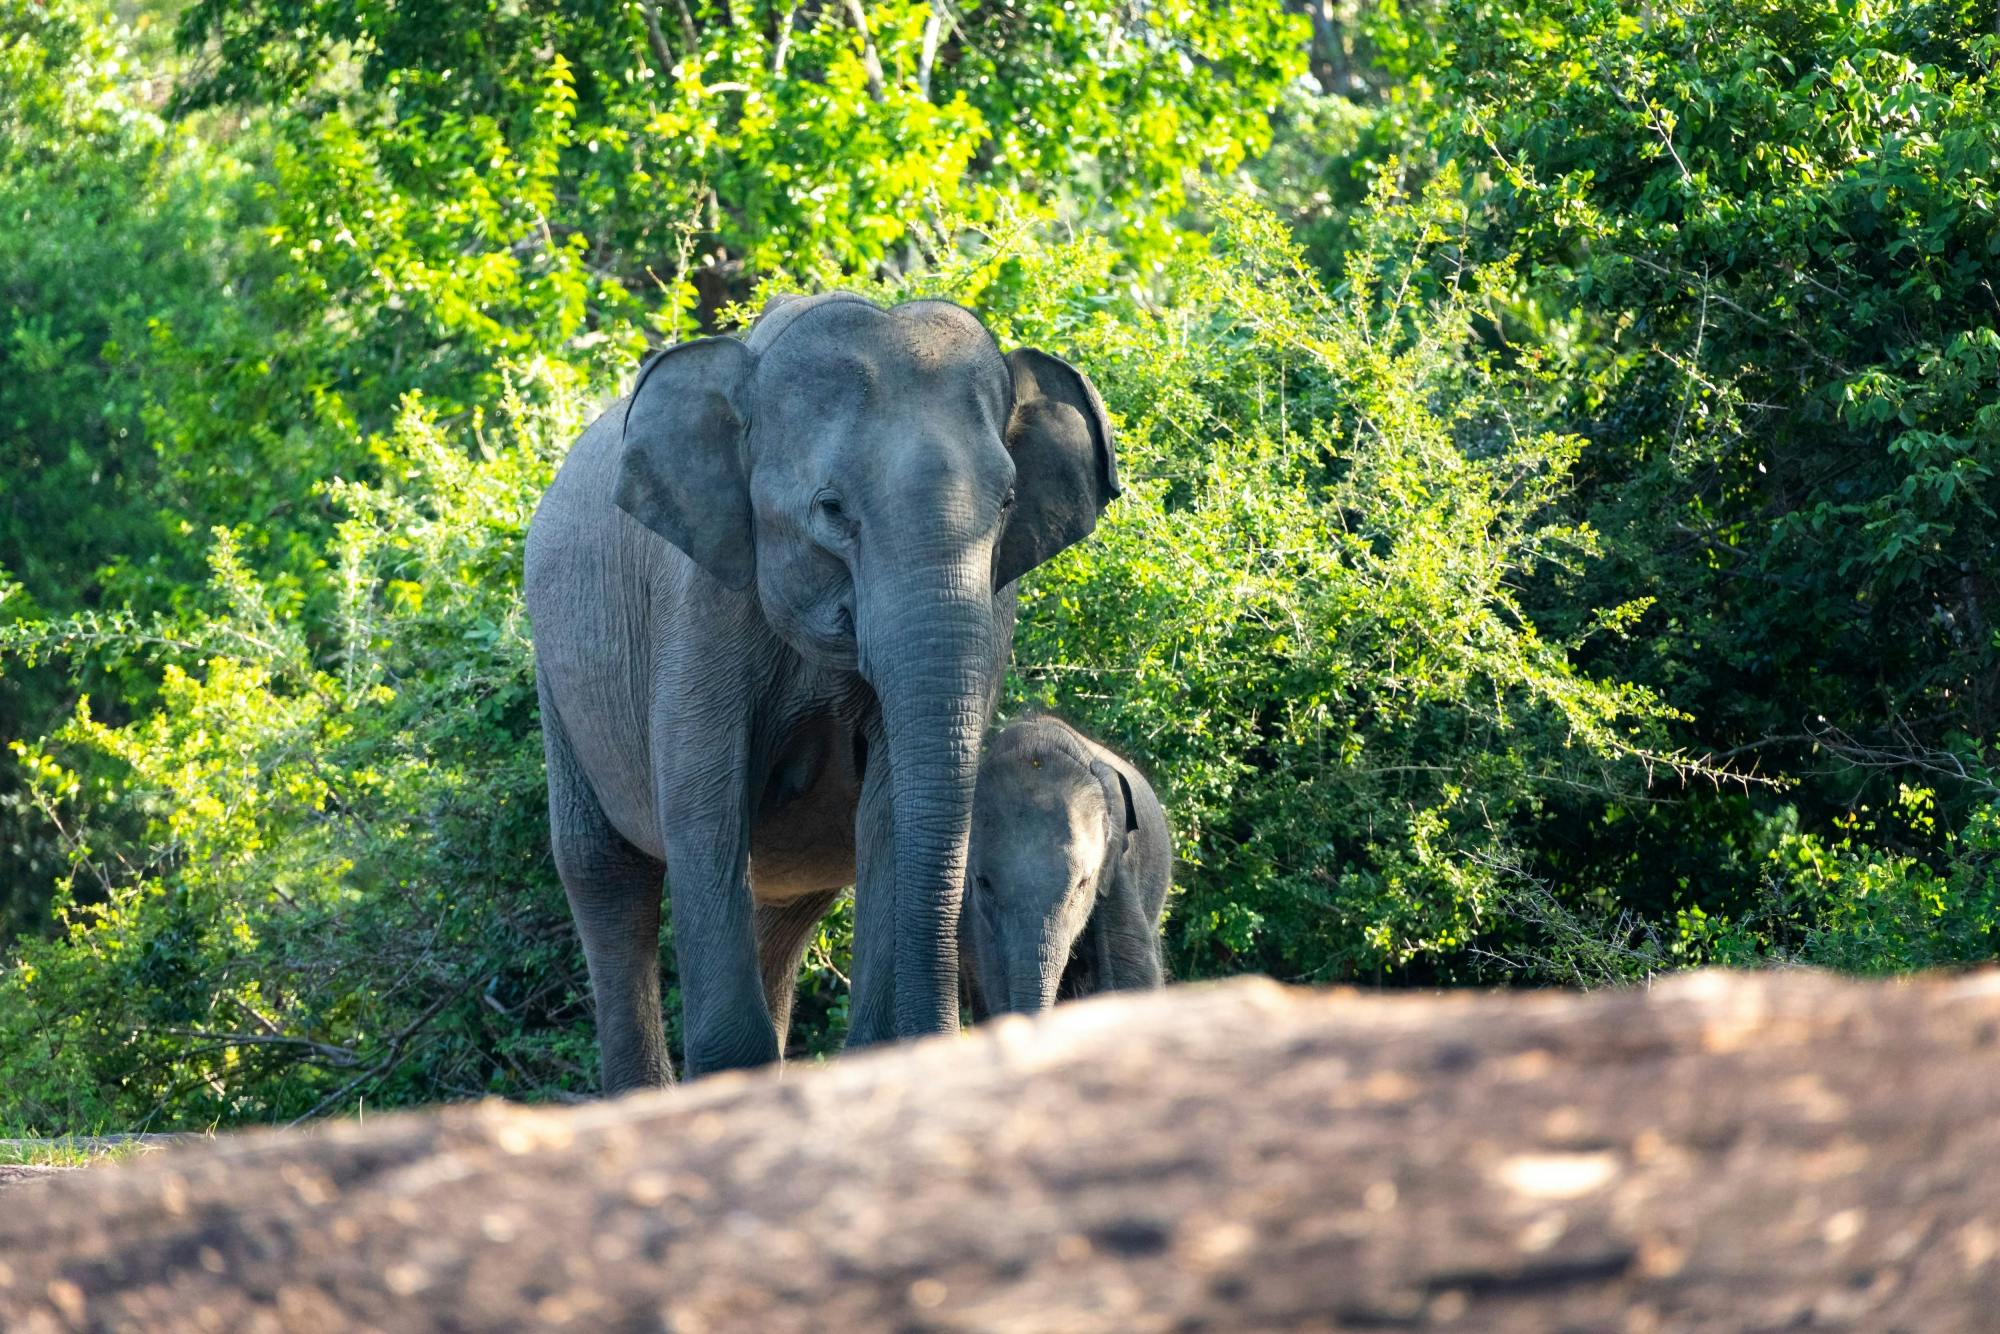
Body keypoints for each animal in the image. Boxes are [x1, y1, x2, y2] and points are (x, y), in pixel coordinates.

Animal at [524, 294, 1120, 1096]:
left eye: (1008, 502)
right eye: (831, 509)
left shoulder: (995, 602)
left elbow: (892, 810)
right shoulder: (698, 605)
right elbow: (703, 813)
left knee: (783, 913)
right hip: (557, 676)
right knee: (606, 875)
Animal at [956, 720, 1168, 1024]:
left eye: (1084, 883)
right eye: (983, 883)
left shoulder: (1118, 873)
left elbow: (1132, 973)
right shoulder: (976, 915)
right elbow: (990, 978)